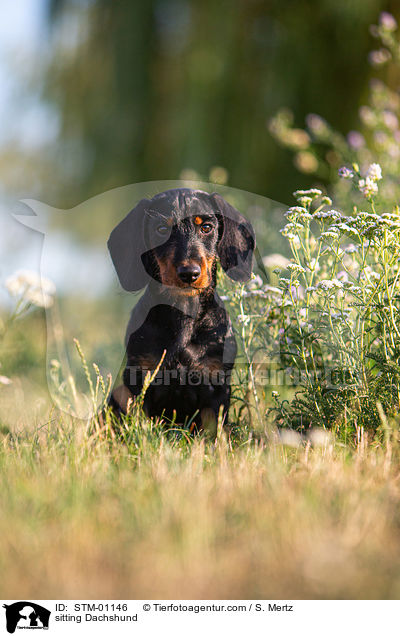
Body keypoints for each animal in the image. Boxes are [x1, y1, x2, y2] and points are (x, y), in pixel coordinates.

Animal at [108, 186, 255, 430]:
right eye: (161, 229)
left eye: (206, 227)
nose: (189, 274)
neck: (183, 314)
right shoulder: (140, 377)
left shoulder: (215, 383)